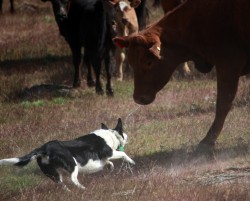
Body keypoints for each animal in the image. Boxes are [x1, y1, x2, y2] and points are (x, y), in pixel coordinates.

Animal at [0, 118, 135, 189]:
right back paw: (83, 189)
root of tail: (43, 149)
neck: (112, 135)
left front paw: (110, 168)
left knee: (61, 184)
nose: (127, 135)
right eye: (123, 132)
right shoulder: (109, 152)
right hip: (72, 165)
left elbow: (109, 162)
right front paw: (132, 162)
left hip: (53, 173)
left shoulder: (103, 159)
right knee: (73, 180)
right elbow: (123, 155)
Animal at [114, 0, 250, 154]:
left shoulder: (228, 63)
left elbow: (223, 103)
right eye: (131, 62)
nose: (138, 98)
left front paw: (206, 142)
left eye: (149, 62)